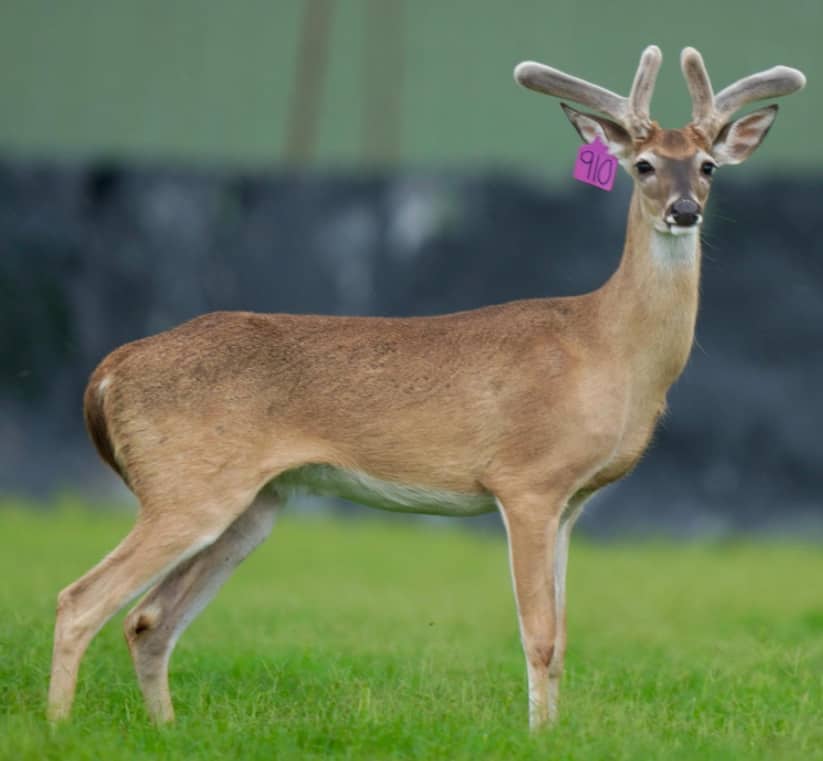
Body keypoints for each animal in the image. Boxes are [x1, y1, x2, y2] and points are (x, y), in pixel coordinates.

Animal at [48, 45, 805, 730]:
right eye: (643, 165)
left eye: (707, 165)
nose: (684, 209)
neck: (608, 348)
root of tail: (110, 369)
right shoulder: (526, 481)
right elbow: (539, 634)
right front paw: (537, 736)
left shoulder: (571, 504)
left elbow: (563, 640)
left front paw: (555, 732)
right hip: (185, 487)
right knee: (79, 601)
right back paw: (58, 726)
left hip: (252, 504)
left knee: (147, 620)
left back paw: (165, 729)